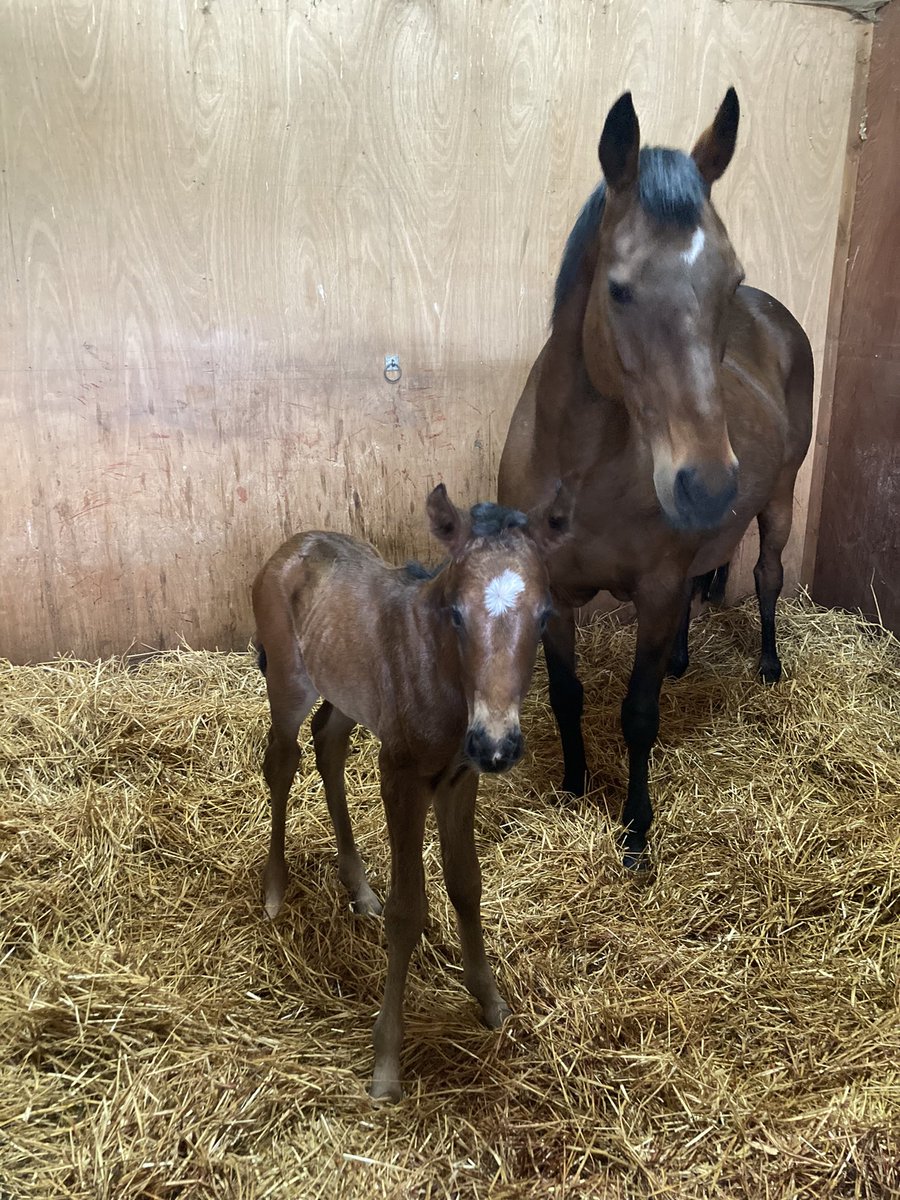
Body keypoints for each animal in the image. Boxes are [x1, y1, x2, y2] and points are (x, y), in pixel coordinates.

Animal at [251, 483, 570, 1100]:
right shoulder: (400, 775)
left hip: (348, 695)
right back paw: (275, 889)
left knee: (328, 743)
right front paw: (386, 1065)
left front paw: (491, 1003)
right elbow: (408, 910)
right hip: (287, 682)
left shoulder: (459, 777)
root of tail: (289, 548)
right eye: (457, 614)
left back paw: (358, 888)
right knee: (281, 761)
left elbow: (466, 884)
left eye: (544, 616)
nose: (498, 744)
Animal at [498, 88, 813, 869]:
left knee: (766, 576)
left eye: (728, 282)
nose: (708, 484)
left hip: (781, 500)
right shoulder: (554, 594)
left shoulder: (659, 588)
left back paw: (768, 666)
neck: (580, 469)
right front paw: (574, 787)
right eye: (618, 290)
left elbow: (639, 716)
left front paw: (636, 831)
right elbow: (568, 696)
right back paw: (681, 659)